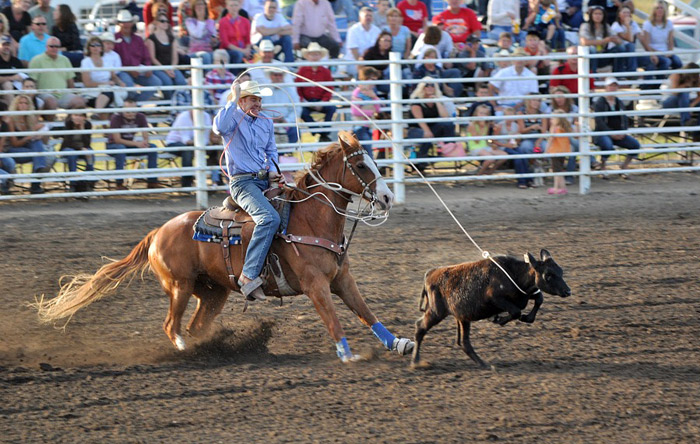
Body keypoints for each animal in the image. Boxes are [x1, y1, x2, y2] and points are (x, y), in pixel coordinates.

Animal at [411, 249, 571, 369]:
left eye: (561, 271)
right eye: (548, 275)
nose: (568, 291)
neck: (513, 274)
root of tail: (430, 274)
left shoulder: (525, 295)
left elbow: (539, 299)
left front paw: (526, 317)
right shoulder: (495, 298)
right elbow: (516, 311)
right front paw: (498, 319)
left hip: (463, 317)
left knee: (464, 342)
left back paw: (483, 364)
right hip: (436, 312)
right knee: (420, 327)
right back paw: (415, 361)